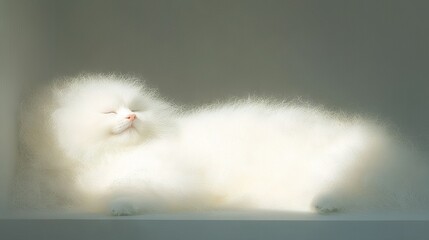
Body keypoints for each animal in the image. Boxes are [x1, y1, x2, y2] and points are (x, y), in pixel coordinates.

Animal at [15, 73, 428, 216]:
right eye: (108, 111)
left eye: (135, 108)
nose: (132, 118)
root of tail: (406, 165)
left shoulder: (165, 176)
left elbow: (134, 190)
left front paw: (121, 207)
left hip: (339, 163)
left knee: (351, 190)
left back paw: (324, 203)